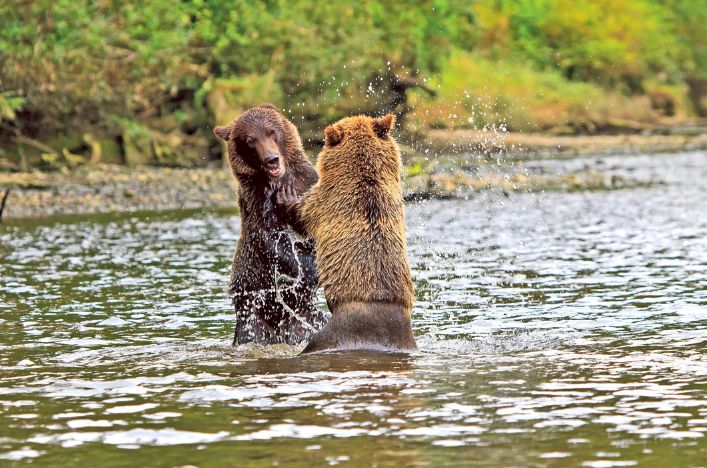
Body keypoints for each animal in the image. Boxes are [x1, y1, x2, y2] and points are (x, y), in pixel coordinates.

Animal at [213, 103, 328, 345]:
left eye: (271, 131)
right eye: (250, 140)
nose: (271, 159)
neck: (280, 181)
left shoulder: (307, 183)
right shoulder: (257, 201)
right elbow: (269, 238)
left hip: (304, 317)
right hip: (253, 318)